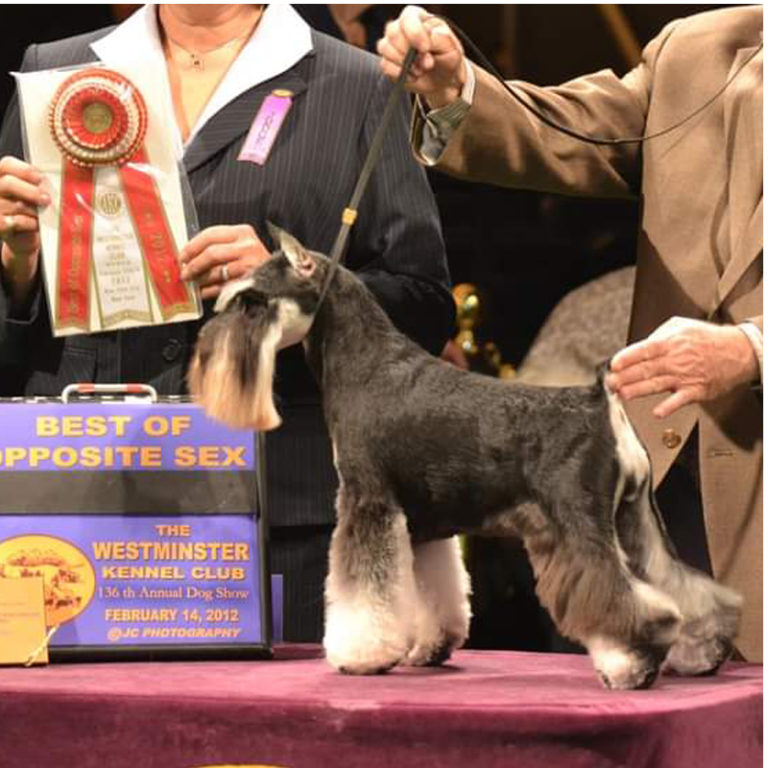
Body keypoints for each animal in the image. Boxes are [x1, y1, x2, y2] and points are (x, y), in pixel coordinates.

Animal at [192, 226, 744, 688]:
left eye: (253, 302)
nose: (204, 353)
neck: (365, 364)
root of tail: (601, 399)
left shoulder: (367, 502)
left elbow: (363, 591)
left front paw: (360, 656)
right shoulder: (425, 524)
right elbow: (433, 592)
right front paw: (428, 649)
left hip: (579, 525)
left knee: (629, 598)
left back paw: (632, 666)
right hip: (635, 521)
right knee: (684, 588)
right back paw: (702, 652)